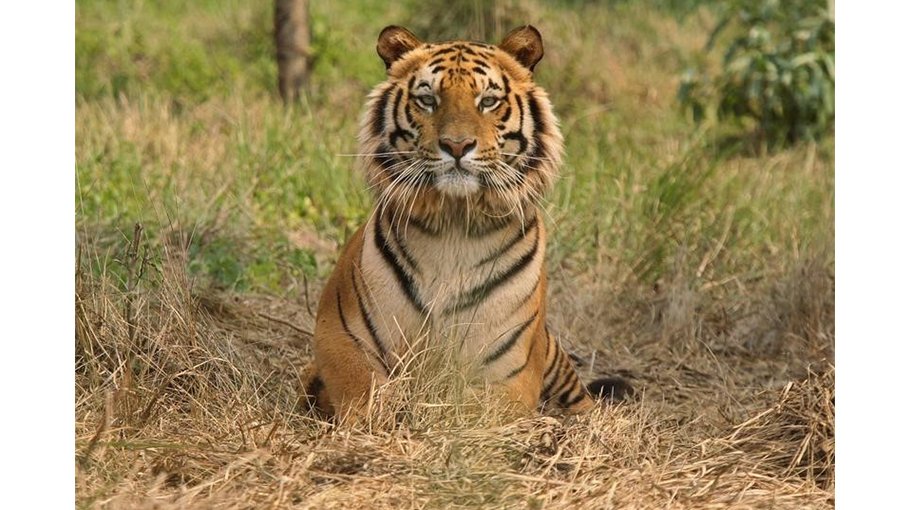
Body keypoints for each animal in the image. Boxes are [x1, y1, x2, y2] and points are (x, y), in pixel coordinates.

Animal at [299, 25, 631, 421]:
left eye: (487, 101)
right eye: (427, 99)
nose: (457, 146)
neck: (453, 226)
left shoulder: (509, 371)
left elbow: (472, 411)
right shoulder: (339, 336)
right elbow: (363, 392)